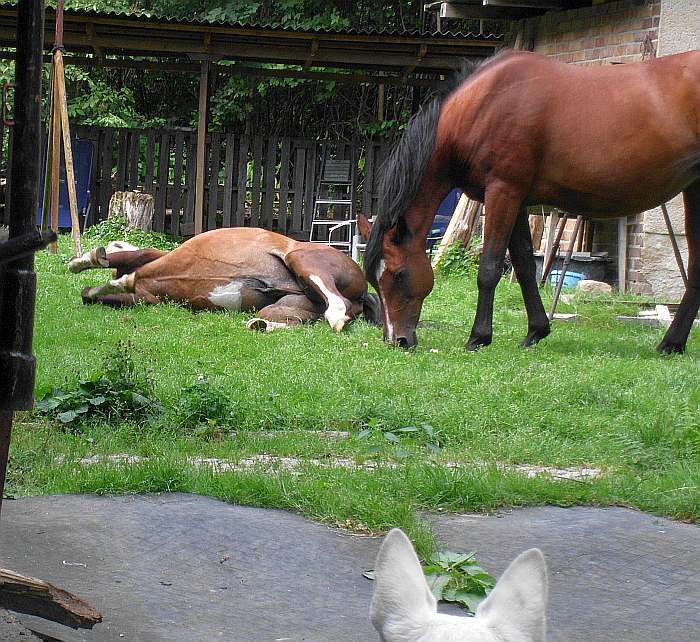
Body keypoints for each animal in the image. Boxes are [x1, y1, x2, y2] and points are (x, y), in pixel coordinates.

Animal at [68, 228, 380, 330]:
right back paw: (259, 325)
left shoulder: (151, 260)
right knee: (295, 320)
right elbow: (90, 292)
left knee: (336, 309)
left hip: (301, 259)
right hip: (284, 306)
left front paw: (87, 261)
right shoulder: (146, 297)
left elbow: (114, 265)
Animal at [366, 49, 700, 350]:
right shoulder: (516, 200)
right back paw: (673, 342)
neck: (483, 105)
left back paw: (671, 342)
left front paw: (478, 337)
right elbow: (525, 265)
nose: (398, 340)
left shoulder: (503, 192)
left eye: (398, 275)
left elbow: (489, 268)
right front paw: (536, 330)